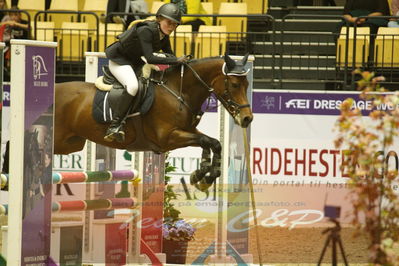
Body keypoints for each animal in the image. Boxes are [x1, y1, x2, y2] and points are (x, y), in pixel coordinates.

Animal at [54, 54, 253, 191]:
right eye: (234, 85)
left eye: (247, 85)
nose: (247, 118)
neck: (178, 91)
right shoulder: (167, 138)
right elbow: (207, 141)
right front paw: (203, 176)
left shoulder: (188, 130)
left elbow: (214, 143)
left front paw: (202, 177)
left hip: (71, 143)